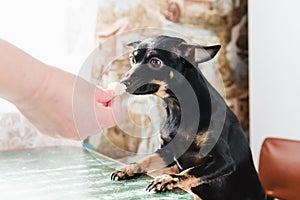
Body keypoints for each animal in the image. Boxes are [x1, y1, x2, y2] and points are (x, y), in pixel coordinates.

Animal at [111, 35, 266, 199]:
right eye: (132, 59)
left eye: (155, 62)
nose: (122, 83)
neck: (178, 108)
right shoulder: (166, 152)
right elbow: (147, 158)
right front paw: (128, 168)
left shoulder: (224, 161)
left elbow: (191, 171)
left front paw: (167, 179)